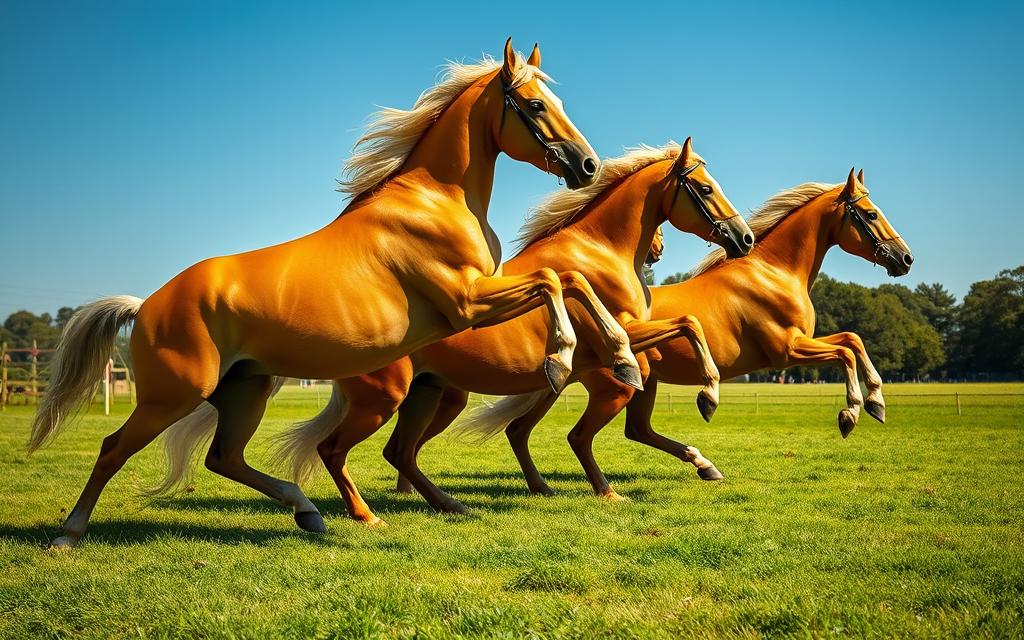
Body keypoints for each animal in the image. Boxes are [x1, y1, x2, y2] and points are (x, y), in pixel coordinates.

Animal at [29, 38, 638, 544]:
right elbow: (555, 279)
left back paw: (311, 512)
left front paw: (624, 359)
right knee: (115, 449)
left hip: (246, 390)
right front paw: (563, 359)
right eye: (534, 105)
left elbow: (571, 280)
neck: (436, 200)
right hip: (173, 395)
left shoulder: (482, 296)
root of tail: (148, 304)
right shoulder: (467, 302)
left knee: (225, 458)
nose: (588, 166)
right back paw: (70, 533)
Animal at [276, 138, 757, 520]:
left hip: (434, 395)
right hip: (384, 397)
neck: (599, 251)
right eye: (706, 188)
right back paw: (369, 514)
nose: (744, 238)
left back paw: (458, 502)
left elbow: (687, 324)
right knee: (338, 450)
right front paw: (707, 397)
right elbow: (679, 329)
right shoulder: (617, 342)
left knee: (403, 451)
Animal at [464, 168, 913, 493]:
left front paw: (874, 402)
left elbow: (852, 340)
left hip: (609, 386)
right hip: (617, 388)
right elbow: (847, 349)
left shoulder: (799, 346)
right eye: (870, 214)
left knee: (558, 429)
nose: (905, 258)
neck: (772, 272)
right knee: (579, 436)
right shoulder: (788, 350)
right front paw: (855, 411)